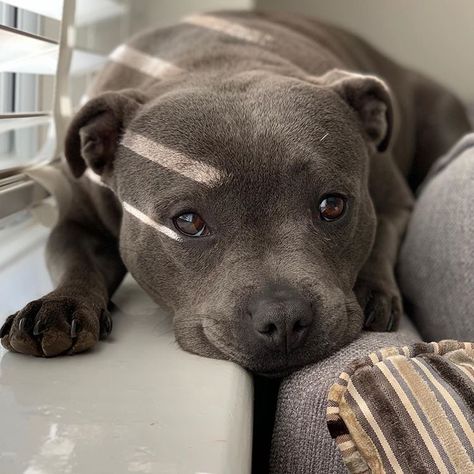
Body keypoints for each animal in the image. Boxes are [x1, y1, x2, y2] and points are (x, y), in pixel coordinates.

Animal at [0, 10, 470, 374]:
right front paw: (59, 304)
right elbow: (76, 259)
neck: (219, 62)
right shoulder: (76, 222)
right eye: (188, 221)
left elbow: (382, 236)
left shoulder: (394, 201)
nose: (284, 318)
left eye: (333, 206)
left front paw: (372, 289)